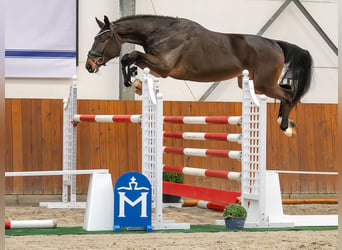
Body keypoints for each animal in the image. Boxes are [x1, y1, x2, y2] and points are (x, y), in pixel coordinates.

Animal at [86, 14, 312, 138]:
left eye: (104, 39)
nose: (89, 65)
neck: (161, 32)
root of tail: (276, 44)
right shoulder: (157, 66)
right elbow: (130, 58)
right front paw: (135, 81)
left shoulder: (164, 67)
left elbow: (129, 56)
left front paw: (133, 82)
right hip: (253, 83)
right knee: (288, 90)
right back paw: (285, 123)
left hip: (263, 83)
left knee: (288, 95)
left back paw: (285, 127)